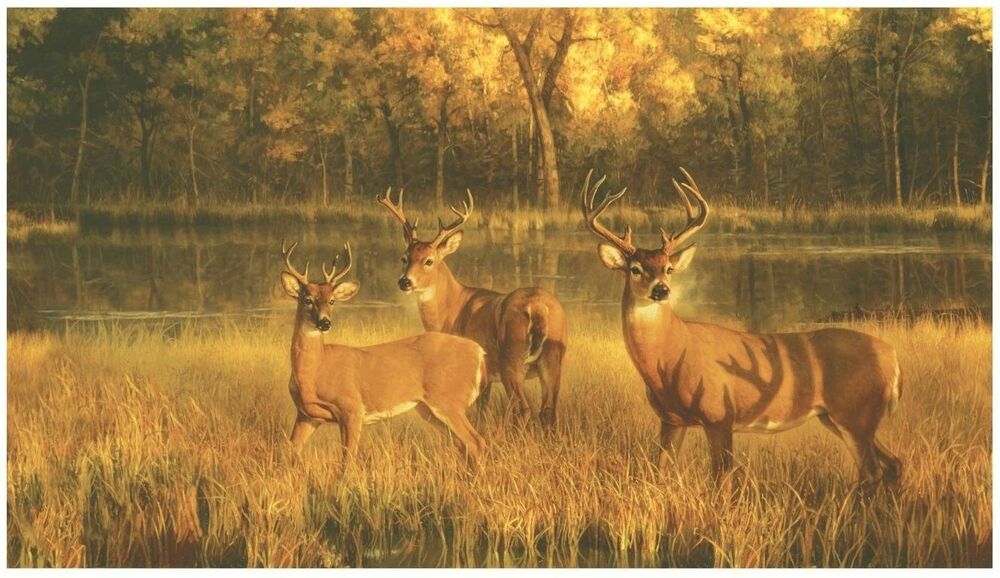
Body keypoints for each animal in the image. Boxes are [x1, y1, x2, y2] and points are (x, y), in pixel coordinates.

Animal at [278, 241, 488, 466]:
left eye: (332, 301)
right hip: (428, 408)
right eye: (307, 299)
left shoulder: (352, 408)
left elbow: (347, 460)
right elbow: (289, 451)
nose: (325, 323)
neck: (314, 372)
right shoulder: (306, 415)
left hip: (448, 399)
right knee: (463, 444)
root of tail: (479, 352)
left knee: (476, 441)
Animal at [376, 187, 568, 426]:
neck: (451, 311)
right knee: (549, 411)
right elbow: (483, 411)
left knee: (523, 409)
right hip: (553, 360)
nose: (405, 282)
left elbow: (476, 411)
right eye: (404, 258)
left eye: (429, 261)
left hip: (511, 360)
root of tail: (538, 307)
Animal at [584, 168, 904, 486]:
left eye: (669, 268)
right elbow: (658, 472)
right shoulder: (671, 420)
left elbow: (721, 480)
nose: (661, 290)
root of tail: (893, 357)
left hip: (855, 412)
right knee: (894, 463)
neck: (669, 359)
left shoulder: (720, 416)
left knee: (872, 471)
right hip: (842, 417)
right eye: (635, 269)